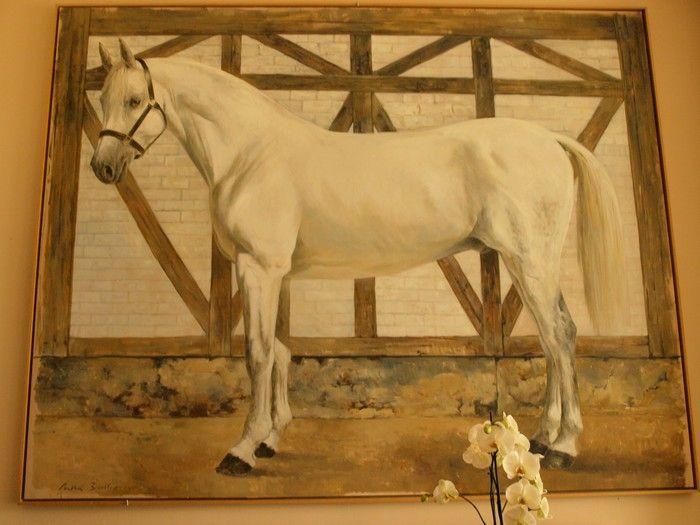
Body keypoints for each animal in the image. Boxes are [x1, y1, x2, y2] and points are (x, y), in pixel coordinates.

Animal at [91, 39, 626, 476]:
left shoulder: (258, 267)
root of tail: (549, 139)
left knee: (559, 336)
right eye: (102, 99)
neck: (251, 154)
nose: (102, 167)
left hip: (530, 260)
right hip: (524, 263)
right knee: (553, 338)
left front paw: (242, 449)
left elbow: (258, 354)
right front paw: (271, 438)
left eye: (134, 100)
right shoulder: (278, 274)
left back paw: (565, 447)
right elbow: (281, 349)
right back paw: (542, 439)